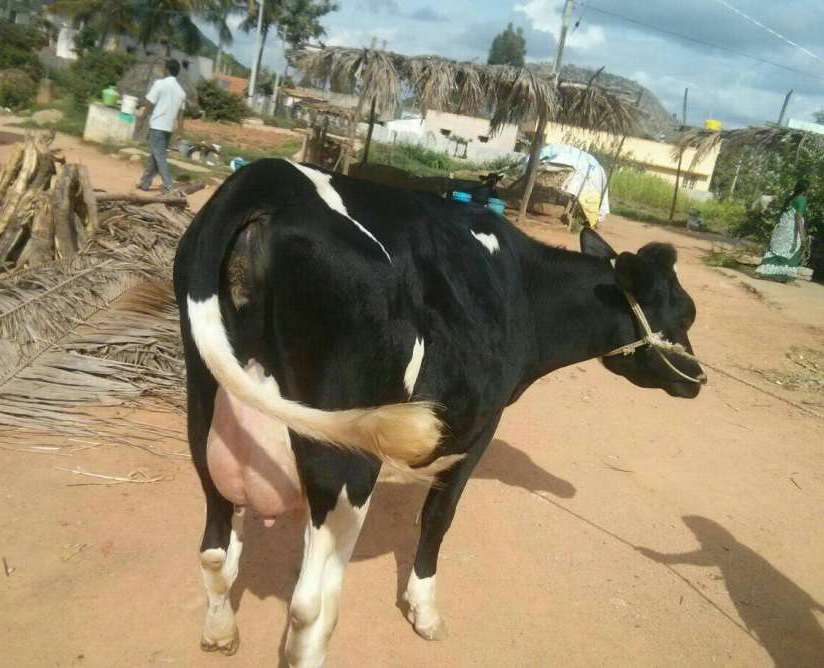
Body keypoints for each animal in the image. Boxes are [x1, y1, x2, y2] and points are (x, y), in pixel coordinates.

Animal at [173, 158, 705, 666]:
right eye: (684, 314)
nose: (697, 378)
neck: (526, 291)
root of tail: (265, 177)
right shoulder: (482, 424)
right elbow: (439, 515)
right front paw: (425, 609)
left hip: (206, 410)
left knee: (215, 550)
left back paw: (220, 632)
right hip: (346, 454)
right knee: (310, 601)